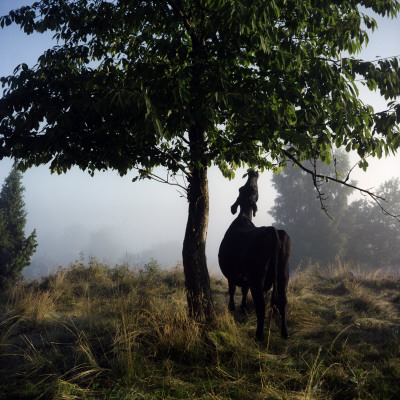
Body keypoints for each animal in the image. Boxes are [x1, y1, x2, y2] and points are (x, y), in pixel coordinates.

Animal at [219, 171, 290, 340]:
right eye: (244, 188)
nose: (252, 172)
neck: (243, 217)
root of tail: (272, 229)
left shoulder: (232, 273)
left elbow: (232, 289)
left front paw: (233, 308)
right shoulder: (245, 277)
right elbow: (244, 290)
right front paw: (243, 307)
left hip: (257, 276)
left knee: (261, 305)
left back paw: (259, 336)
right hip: (283, 272)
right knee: (283, 300)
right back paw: (284, 333)